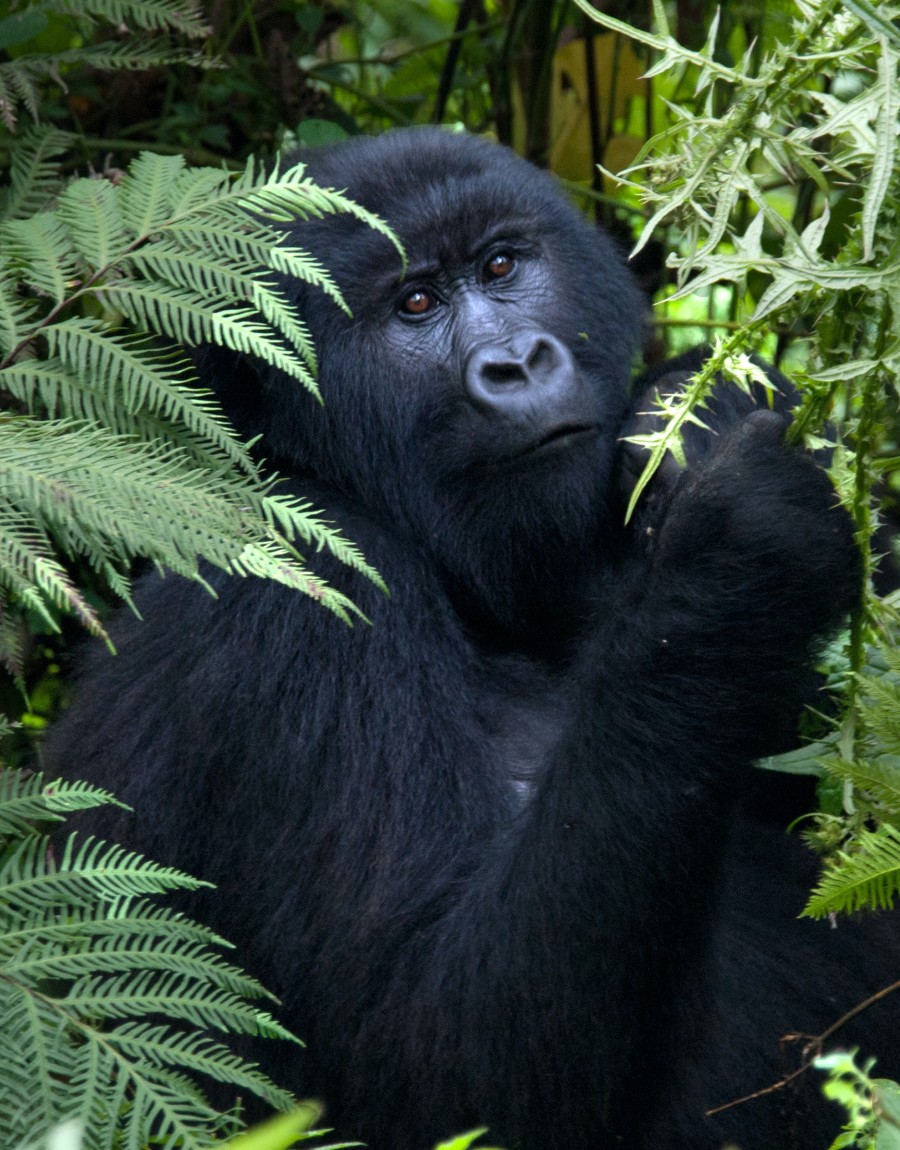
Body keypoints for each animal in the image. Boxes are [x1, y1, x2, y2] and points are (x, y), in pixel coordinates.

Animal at [51, 130, 900, 1145]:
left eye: (501, 266)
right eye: (414, 304)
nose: (517, 363)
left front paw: (698, 413)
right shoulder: (290, 610)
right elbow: (442, 1059)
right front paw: (742, 549)